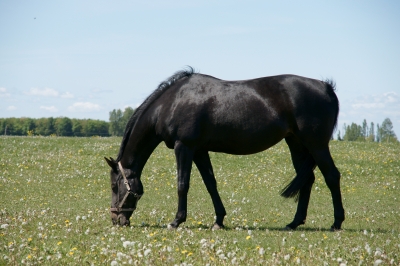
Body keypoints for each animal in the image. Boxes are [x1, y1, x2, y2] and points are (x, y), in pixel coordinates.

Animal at [104, 66, 346, 231]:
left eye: (115, 186)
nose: (116, 219)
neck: (172, 102)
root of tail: (326, 86)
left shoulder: (184, 147)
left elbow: (183, 184)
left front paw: (176, 220)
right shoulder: (199, 150)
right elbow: (211, 184)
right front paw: (219, 220)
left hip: (316, 144)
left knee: (332, 176)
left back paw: (337, 222)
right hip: (296, 143)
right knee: (307, 180)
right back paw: (294, 223)